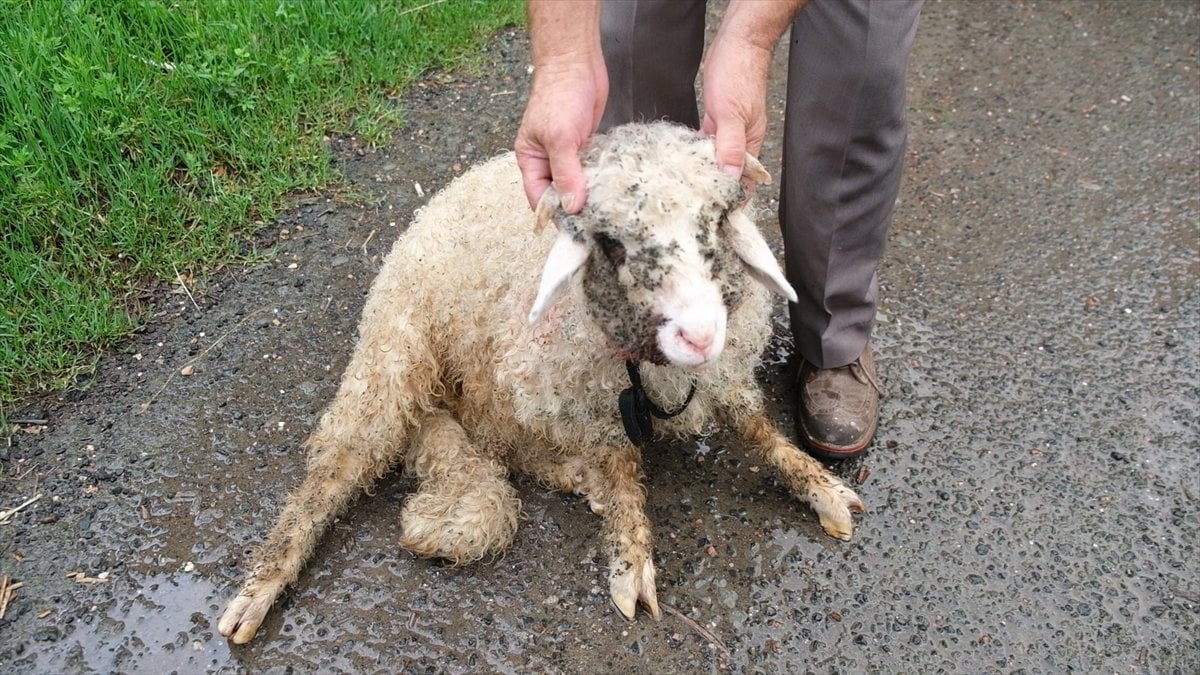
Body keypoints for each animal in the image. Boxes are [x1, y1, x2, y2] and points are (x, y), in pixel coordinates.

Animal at [218, 119, 864, 638]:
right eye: (610, 242)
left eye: (719, 217)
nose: (701, 335)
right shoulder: (584, 398)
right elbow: (622, 471)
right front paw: (630, 559)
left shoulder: (721, 376)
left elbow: (757, 428)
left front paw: (818, 485)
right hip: (397, 354)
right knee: (342, 462)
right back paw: (260, 587)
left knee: (488, 437)